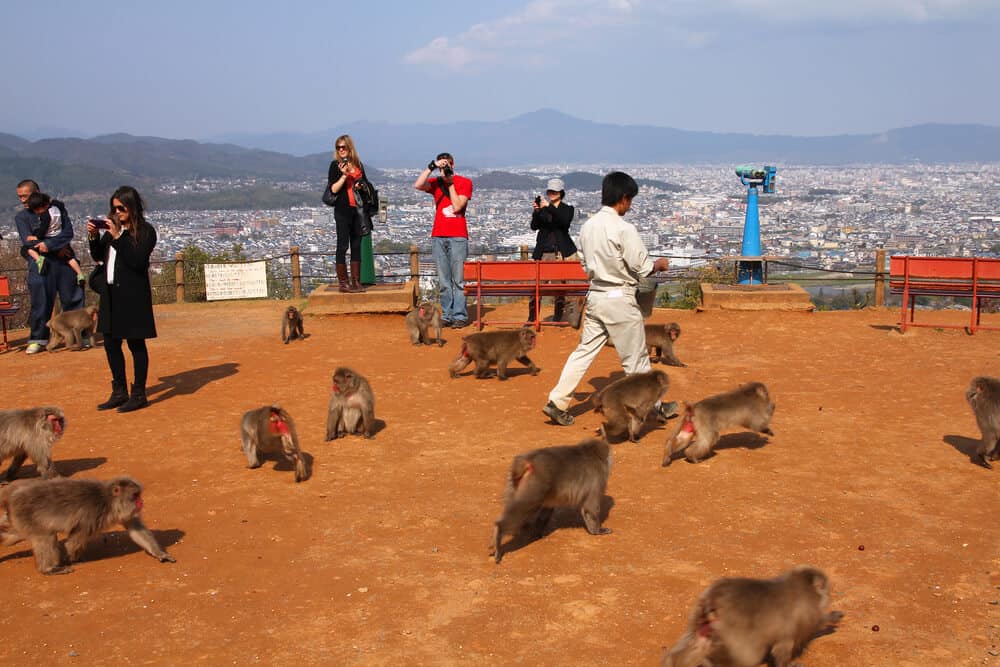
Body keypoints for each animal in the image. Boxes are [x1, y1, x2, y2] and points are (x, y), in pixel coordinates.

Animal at [0, 476, 175, 575]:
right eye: (135, 495)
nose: (141, 502)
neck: (109, 501)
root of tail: (11, 498)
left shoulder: (124, 511)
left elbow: (136, 530)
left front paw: (159, 553)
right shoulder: (91, 515)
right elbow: (73, 542)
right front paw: (73, 559)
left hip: (19, 520)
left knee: (13, 535)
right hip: (27, 516)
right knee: (46, 536)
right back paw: (48, 569)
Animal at [661, 565, 843, 667]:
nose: (828, 594)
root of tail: (713, 599)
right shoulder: (804, 612)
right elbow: (795, 637)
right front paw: (831, 618)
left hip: (699, 615)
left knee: (697, 642)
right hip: (734, 627)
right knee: (748, 656)